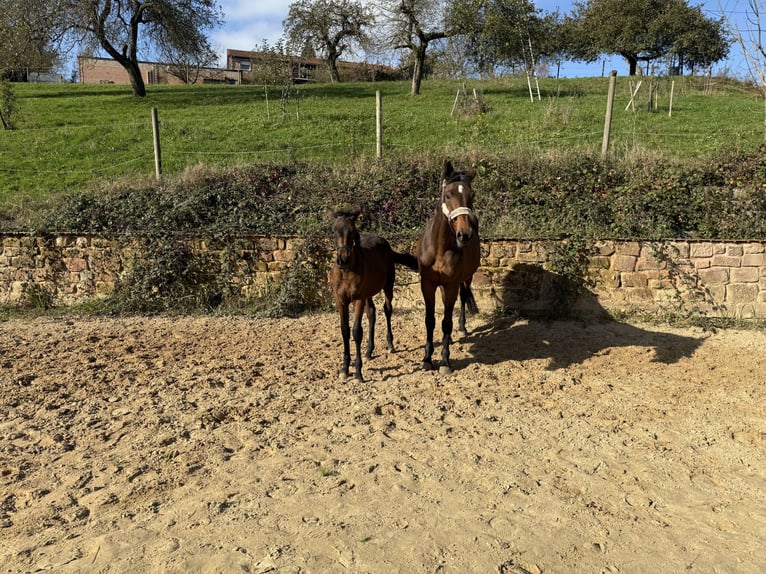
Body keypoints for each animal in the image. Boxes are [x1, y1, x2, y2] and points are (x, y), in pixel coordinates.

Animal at [328, 208, 416, 382]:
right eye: (334, 231)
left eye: (352, 231)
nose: (343, 259)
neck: (346, 272)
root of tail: (387, 246)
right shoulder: (340, 300)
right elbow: (344, 330)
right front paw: (344, 369)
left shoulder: (358, 299)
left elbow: (356, 331)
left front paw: (358, 372)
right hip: (368, 294)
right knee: (371, 313)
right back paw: (369, 351)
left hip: (387, 286)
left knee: (387, 310)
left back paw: (390, 345)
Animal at [420, 161, 480, 374]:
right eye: (448, 195)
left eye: (472, 195)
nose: (465, 234)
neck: (439, 248)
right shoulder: (427, 284)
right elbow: (430, 321)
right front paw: (427, 359)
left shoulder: (452, 284)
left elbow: (446, 322)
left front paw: (445, 361)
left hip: (467, 277)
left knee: (463, 297)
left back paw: (461, 328)